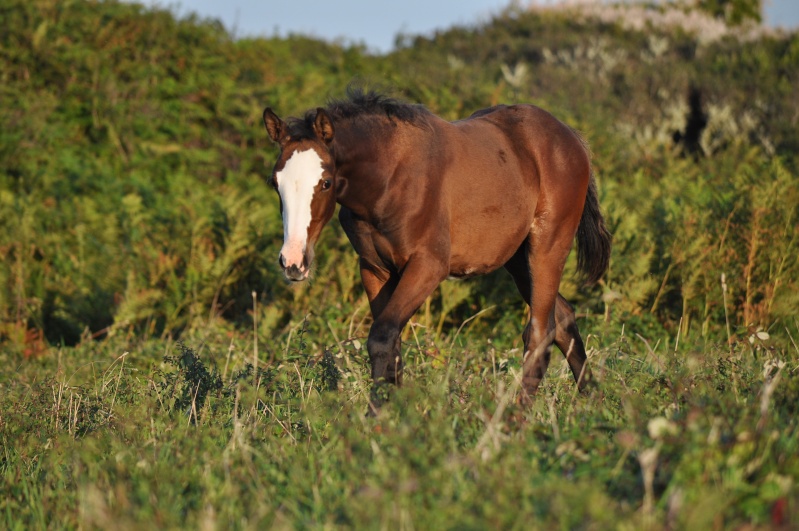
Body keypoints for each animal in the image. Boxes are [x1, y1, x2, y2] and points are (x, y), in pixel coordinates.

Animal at [264, 88, 612, 408]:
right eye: (275, 183)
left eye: (325, 182)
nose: (293, 261)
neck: (390, 177)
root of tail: (570, 138)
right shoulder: (374, 269)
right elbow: (391, 343)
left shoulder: (428, 266)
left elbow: (382, 337)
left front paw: (377, 419)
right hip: (517, 259)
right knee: (563, 318)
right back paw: (593, 403)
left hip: (548, 246)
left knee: (540, 331)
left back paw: (514, 419)